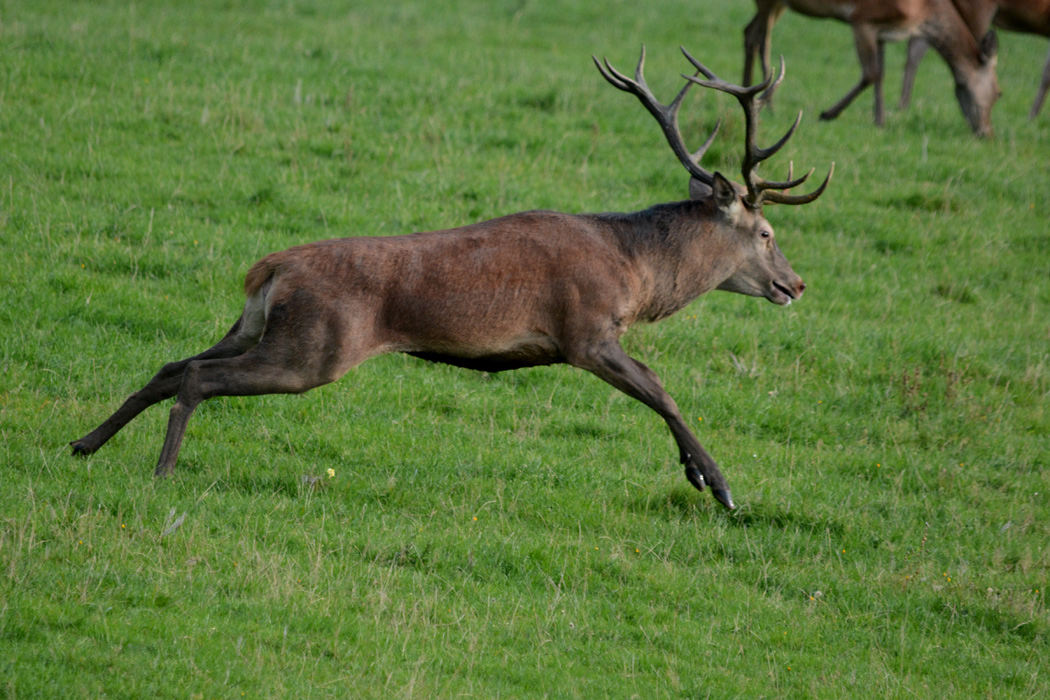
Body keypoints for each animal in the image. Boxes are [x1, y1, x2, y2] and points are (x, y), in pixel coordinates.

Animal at [69, 48, 831, 510]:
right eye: (767, 233)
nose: (796, 286)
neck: (638, 276)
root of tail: (270, 267)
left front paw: (703, 477)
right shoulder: (585, 331)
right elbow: (662, 391)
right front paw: (718, 486)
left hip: (256, 325)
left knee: (170, 363)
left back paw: (83, 444)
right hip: (314, 348)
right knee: (198, 377)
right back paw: (162, 472)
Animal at [743, 0, 1003, 136]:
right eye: (999, 93)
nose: (987, 132)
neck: (922, 13)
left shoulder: (882, 30)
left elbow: (881, 73)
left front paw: (879, 120)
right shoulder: (862, 19)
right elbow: (871, 74)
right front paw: (828, 113)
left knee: (749, 33)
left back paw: (749, 88)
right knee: (761, 40)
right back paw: (768, 103)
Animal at [894, 0, 1050, 119]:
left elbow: (1045, 74)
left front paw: (1032, 117)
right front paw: (1032, 117)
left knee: (918, 44)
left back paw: (903, 105)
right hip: (976, 11)